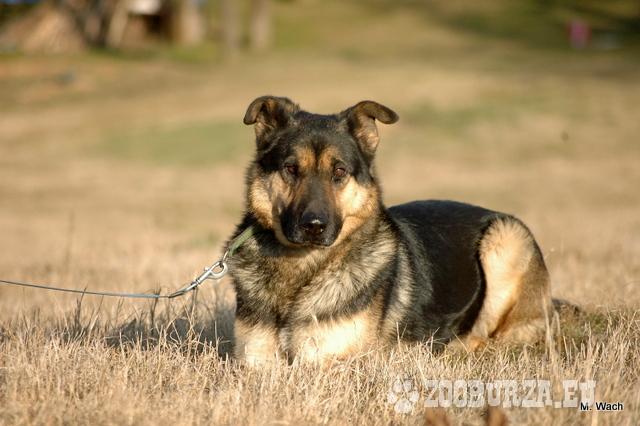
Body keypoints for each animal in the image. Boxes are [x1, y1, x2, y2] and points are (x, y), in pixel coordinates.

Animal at [225, 96, 553, 365]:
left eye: (339, 172)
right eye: (291, 169)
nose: (314, 226)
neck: (302, 266)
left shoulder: (332, 362)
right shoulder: (254, 363)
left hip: (506, 237)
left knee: (490, 338)